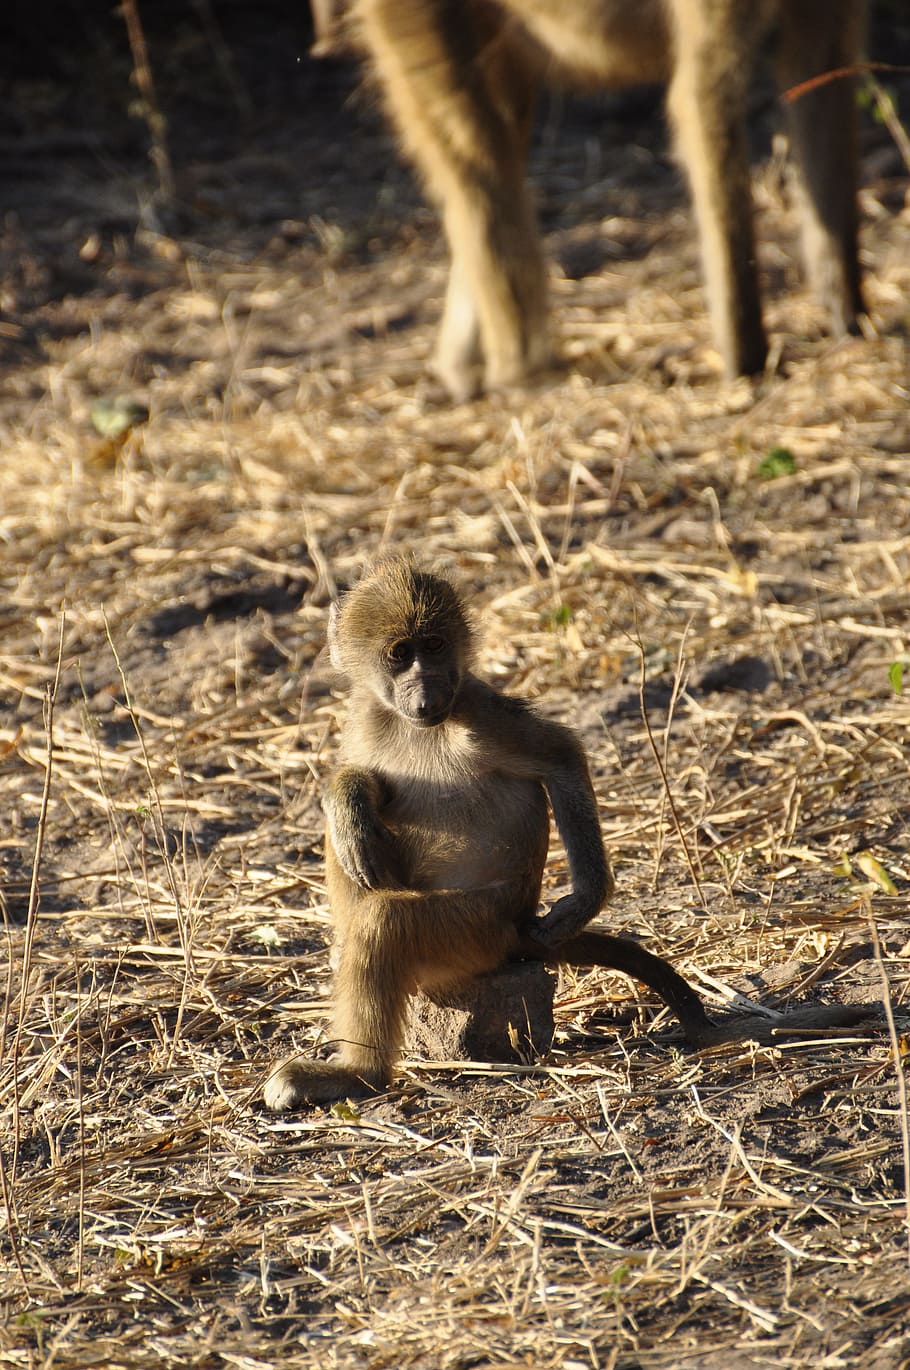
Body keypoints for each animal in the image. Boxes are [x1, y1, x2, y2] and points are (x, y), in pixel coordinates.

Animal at [354, 0, 866, 400]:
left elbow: (820, 70)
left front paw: (852, 321)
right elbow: (702, 97)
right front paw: (748, 362)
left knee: (501, 136)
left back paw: (462, 369)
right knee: (476, 154)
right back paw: (521, 373)